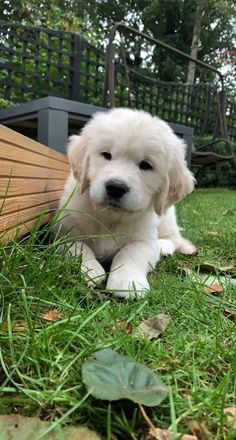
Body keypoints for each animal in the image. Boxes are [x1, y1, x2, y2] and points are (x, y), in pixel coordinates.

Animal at [54, 108, 195, 298]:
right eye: (106, 155)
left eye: (146, 165)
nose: (115, 187)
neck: (109, 216)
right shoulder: (63, 233)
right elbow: (78, 247)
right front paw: (90, 270)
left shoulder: (143, 240)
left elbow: (130, 254)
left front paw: (128, 282)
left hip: (166, 216)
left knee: (173, 238)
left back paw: (163, 246)